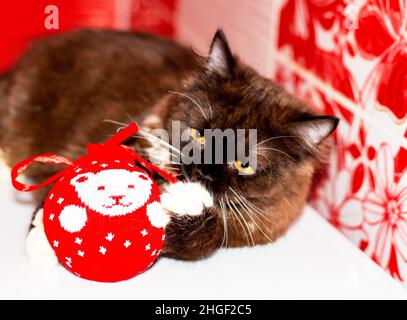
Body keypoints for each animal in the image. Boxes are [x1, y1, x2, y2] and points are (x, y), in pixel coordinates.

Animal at [0, 28, 338, 262]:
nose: (203, 170)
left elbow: (206, 235)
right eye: (200, 135)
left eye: (244, 164)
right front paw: (43, 239)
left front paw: (184, 203)